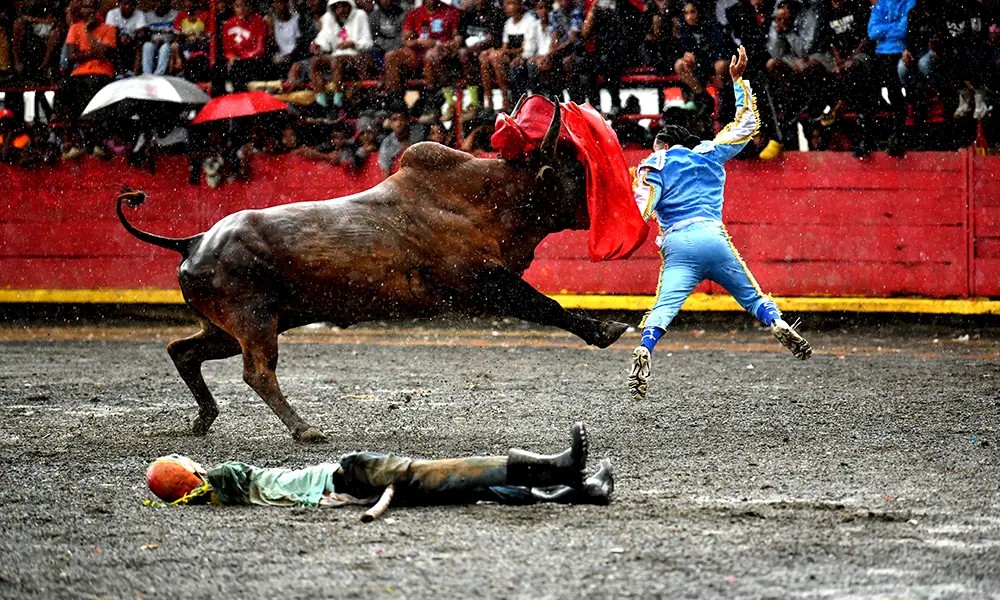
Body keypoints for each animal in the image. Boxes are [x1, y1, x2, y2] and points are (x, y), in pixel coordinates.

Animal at [117, 96, 628, 440]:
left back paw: (205, 417)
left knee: (183, 350)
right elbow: (546, 305)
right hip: (253, 320)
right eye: (574, 172)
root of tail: (192, 240)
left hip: (228, 328)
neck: (482, 198)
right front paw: (606, 330)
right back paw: (305, 429)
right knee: (257, 372)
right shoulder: (485, 282)